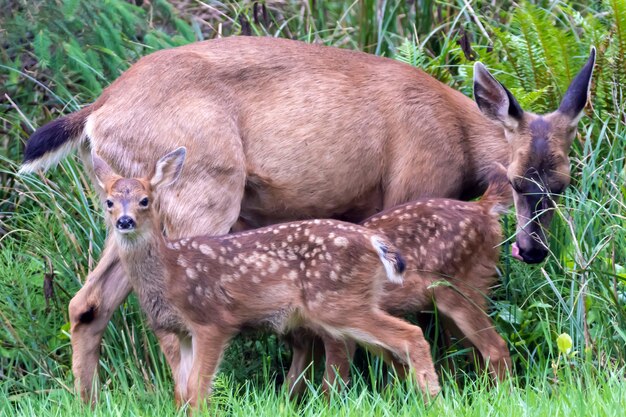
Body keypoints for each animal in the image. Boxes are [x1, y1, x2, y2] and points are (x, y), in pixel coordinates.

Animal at [95, 145, 442, 406]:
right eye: (109, 202)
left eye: (145, 200)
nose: (124, 222)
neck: (171, 272)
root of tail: (375, 241)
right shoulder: (181, 331)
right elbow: (181, 391)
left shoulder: (213, 321)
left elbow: (198, 389)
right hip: (355, 302)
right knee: (392, 347)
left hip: (336, 302)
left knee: (411, 335)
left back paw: (433, 400)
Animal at [288, 165, 512, 394]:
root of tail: (484, 208)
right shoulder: (302, 342)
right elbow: (292, 387)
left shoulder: (339, 331)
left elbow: (330, 386)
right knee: (475, 351)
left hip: (463, 289)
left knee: (496, 347)